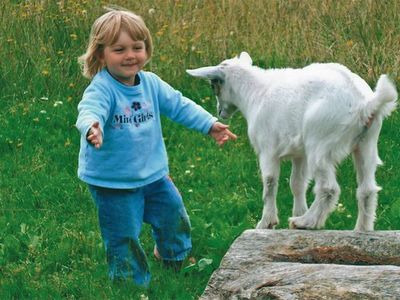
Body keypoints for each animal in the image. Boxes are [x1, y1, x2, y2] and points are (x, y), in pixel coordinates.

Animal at [188, 52, 396, 230]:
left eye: (213, 84)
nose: (220, 112)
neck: (256, 93)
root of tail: (364, 104)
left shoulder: (268, 149)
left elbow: (270, 182)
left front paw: (267, 222)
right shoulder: (299, 154)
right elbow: (297, 183)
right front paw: (298, 211)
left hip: (320, 142)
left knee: (328, 188)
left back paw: (307, 222)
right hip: (366, 143)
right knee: (367, 189)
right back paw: (361, 229)